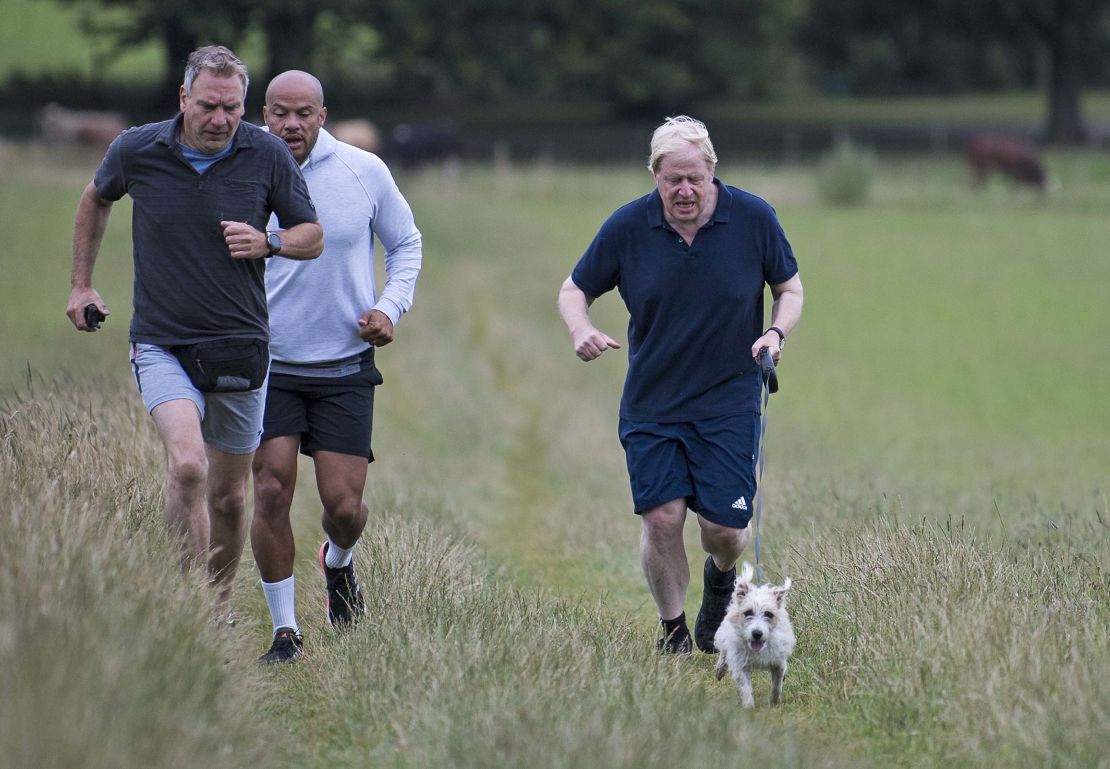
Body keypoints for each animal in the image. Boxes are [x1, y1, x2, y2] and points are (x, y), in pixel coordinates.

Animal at [714, 561, 794, 705]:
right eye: (748, 613)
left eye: (769, 614)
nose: (757, 633)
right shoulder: (741, 665)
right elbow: (745, 688)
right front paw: (749, 706)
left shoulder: (777, 662)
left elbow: (777, 685)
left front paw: (774, 702)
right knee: (723, 653)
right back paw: (720, 669)